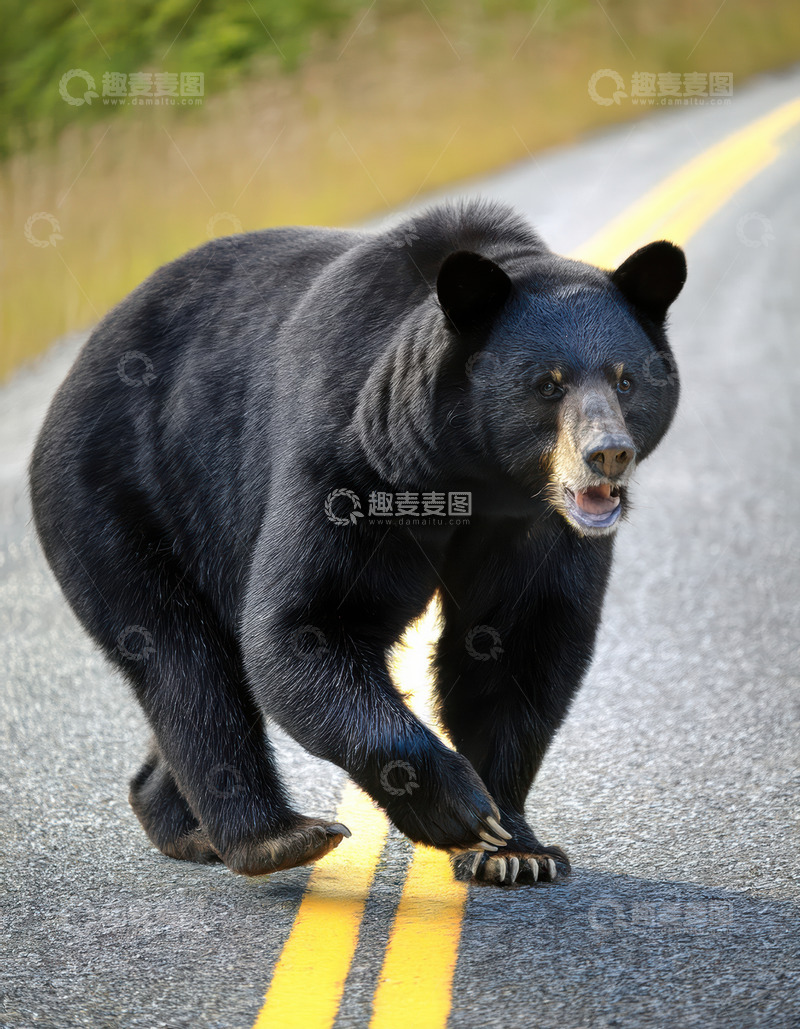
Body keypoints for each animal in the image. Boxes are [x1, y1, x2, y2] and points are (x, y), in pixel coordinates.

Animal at [29, 200, 685, 886]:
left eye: (626, 379)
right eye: (549, 384)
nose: (607, 454)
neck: (471, 477)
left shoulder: (535, 528)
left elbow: (518, 643)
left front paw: (515, 848)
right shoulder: (353, 465)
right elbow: (308, 622)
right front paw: (460, 809)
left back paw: (182, 822)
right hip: (119, 500)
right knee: (182, 658)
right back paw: (277, 836)